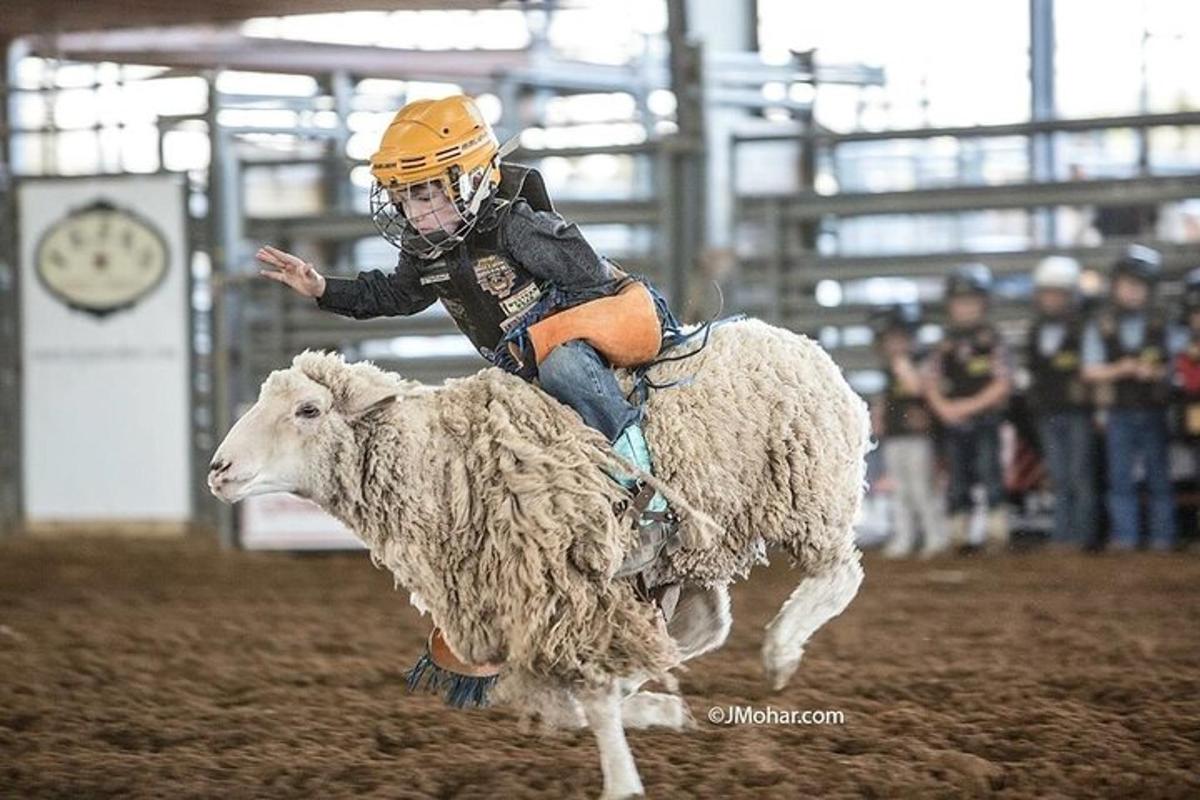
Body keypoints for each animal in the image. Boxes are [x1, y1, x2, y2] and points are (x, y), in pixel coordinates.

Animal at [206, 316, 864, 796]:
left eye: (308, 410)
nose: (218, 469)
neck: (443, 462)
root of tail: (802, 345)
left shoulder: (568, 587)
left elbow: (591, 694)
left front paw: (622, 782)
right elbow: (572, 700)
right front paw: (649, 714)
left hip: (807, 492)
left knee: (839, 575)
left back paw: (781, 651)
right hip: (695, 551)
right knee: (706, 625)